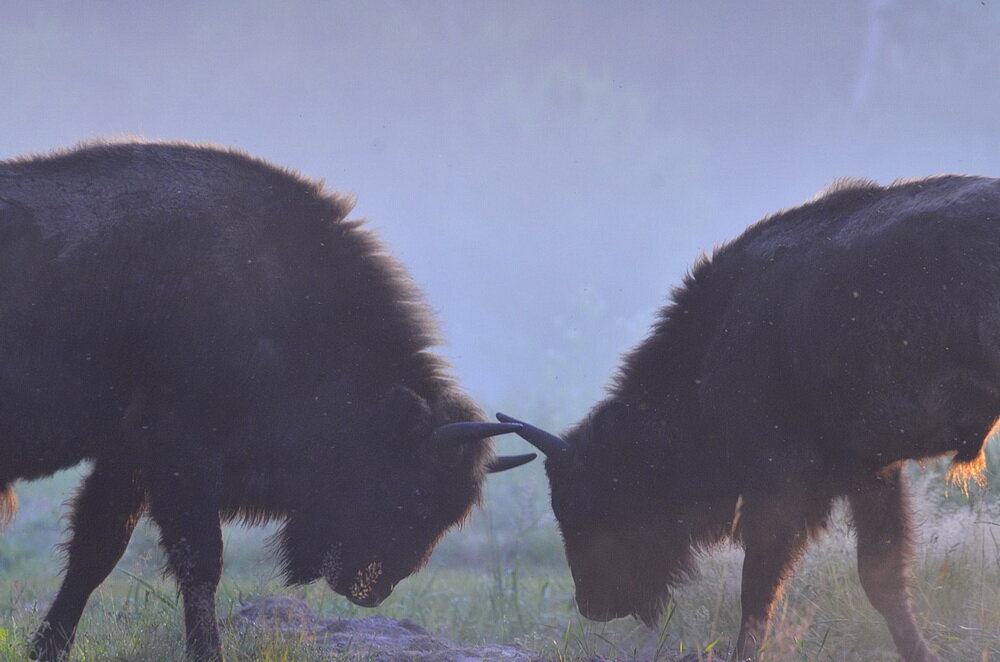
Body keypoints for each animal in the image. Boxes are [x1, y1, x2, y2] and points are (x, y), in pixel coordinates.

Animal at [0, 141, 536, 662]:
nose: (373, 588)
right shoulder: (180, 454)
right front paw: (207, 652)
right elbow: (200, 560)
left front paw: (47, 649)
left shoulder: (127, 457)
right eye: (416, 490)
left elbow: (97, 550)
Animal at [504, 176, 1000, 662]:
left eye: (589, 502)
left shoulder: (779, 489)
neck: (718, 341)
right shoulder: (872, 473)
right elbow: (882, 581)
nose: (594, 605)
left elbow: (758, 590)